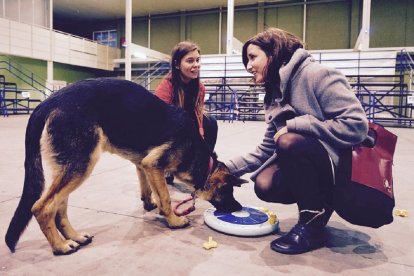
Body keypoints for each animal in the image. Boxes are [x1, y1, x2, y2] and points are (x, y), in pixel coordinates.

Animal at [4, 78, 246, 256]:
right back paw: (60, 246)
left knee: (58, 210)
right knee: (42, 207)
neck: (202, 159)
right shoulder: (153, 164)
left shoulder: (144, 164)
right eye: (228, 191)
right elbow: (166, 197)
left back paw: (74, 237)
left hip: (70, 168)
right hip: (81, 166)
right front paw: (173, 220)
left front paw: (150, 204)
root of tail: (48, 102)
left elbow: (149, 188)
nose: (238, 208)